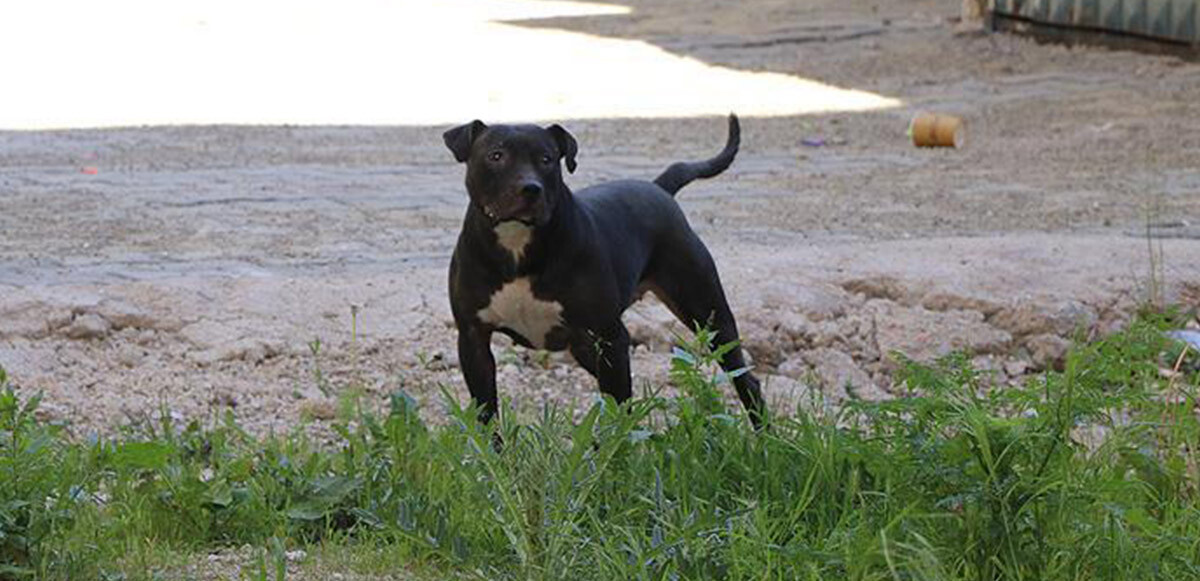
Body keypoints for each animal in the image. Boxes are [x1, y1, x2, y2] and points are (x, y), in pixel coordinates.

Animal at [444, 115, 768, 427]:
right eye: (496, 155)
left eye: (547, 159)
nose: (530, 188)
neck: (517, 246)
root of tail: (659, 187)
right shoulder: (473, 340)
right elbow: (486, 414)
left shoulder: (611, 338)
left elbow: (618, 410)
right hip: (588, 347)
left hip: (707, 312)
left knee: (746, 379)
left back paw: (764, 434)